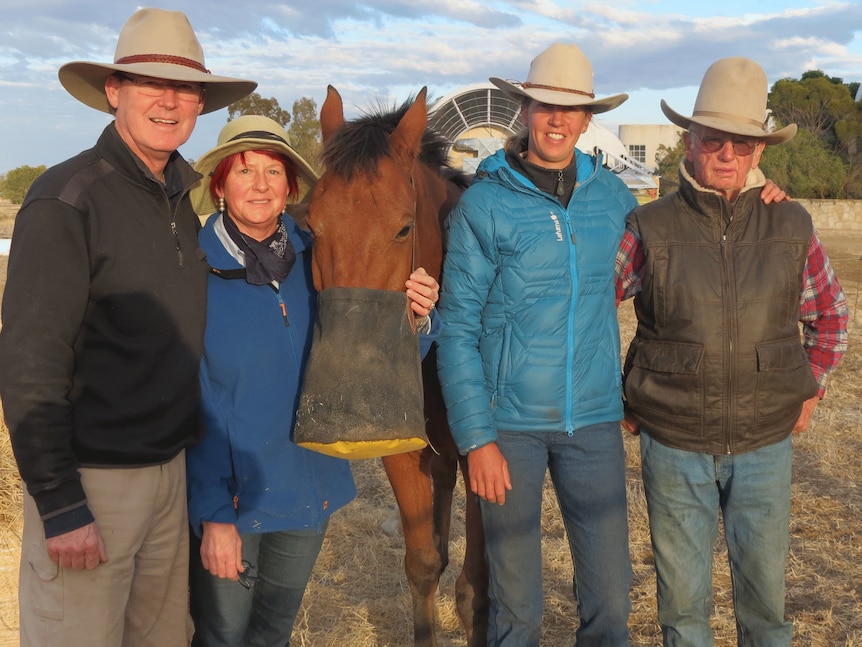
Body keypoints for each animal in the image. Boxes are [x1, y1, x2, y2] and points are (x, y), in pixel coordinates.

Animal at [302, 87, 486, 647]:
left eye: (403, 227)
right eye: (310, 224)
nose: (346, 381)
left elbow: (476, 589)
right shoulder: (400, 450)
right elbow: (423, 565)